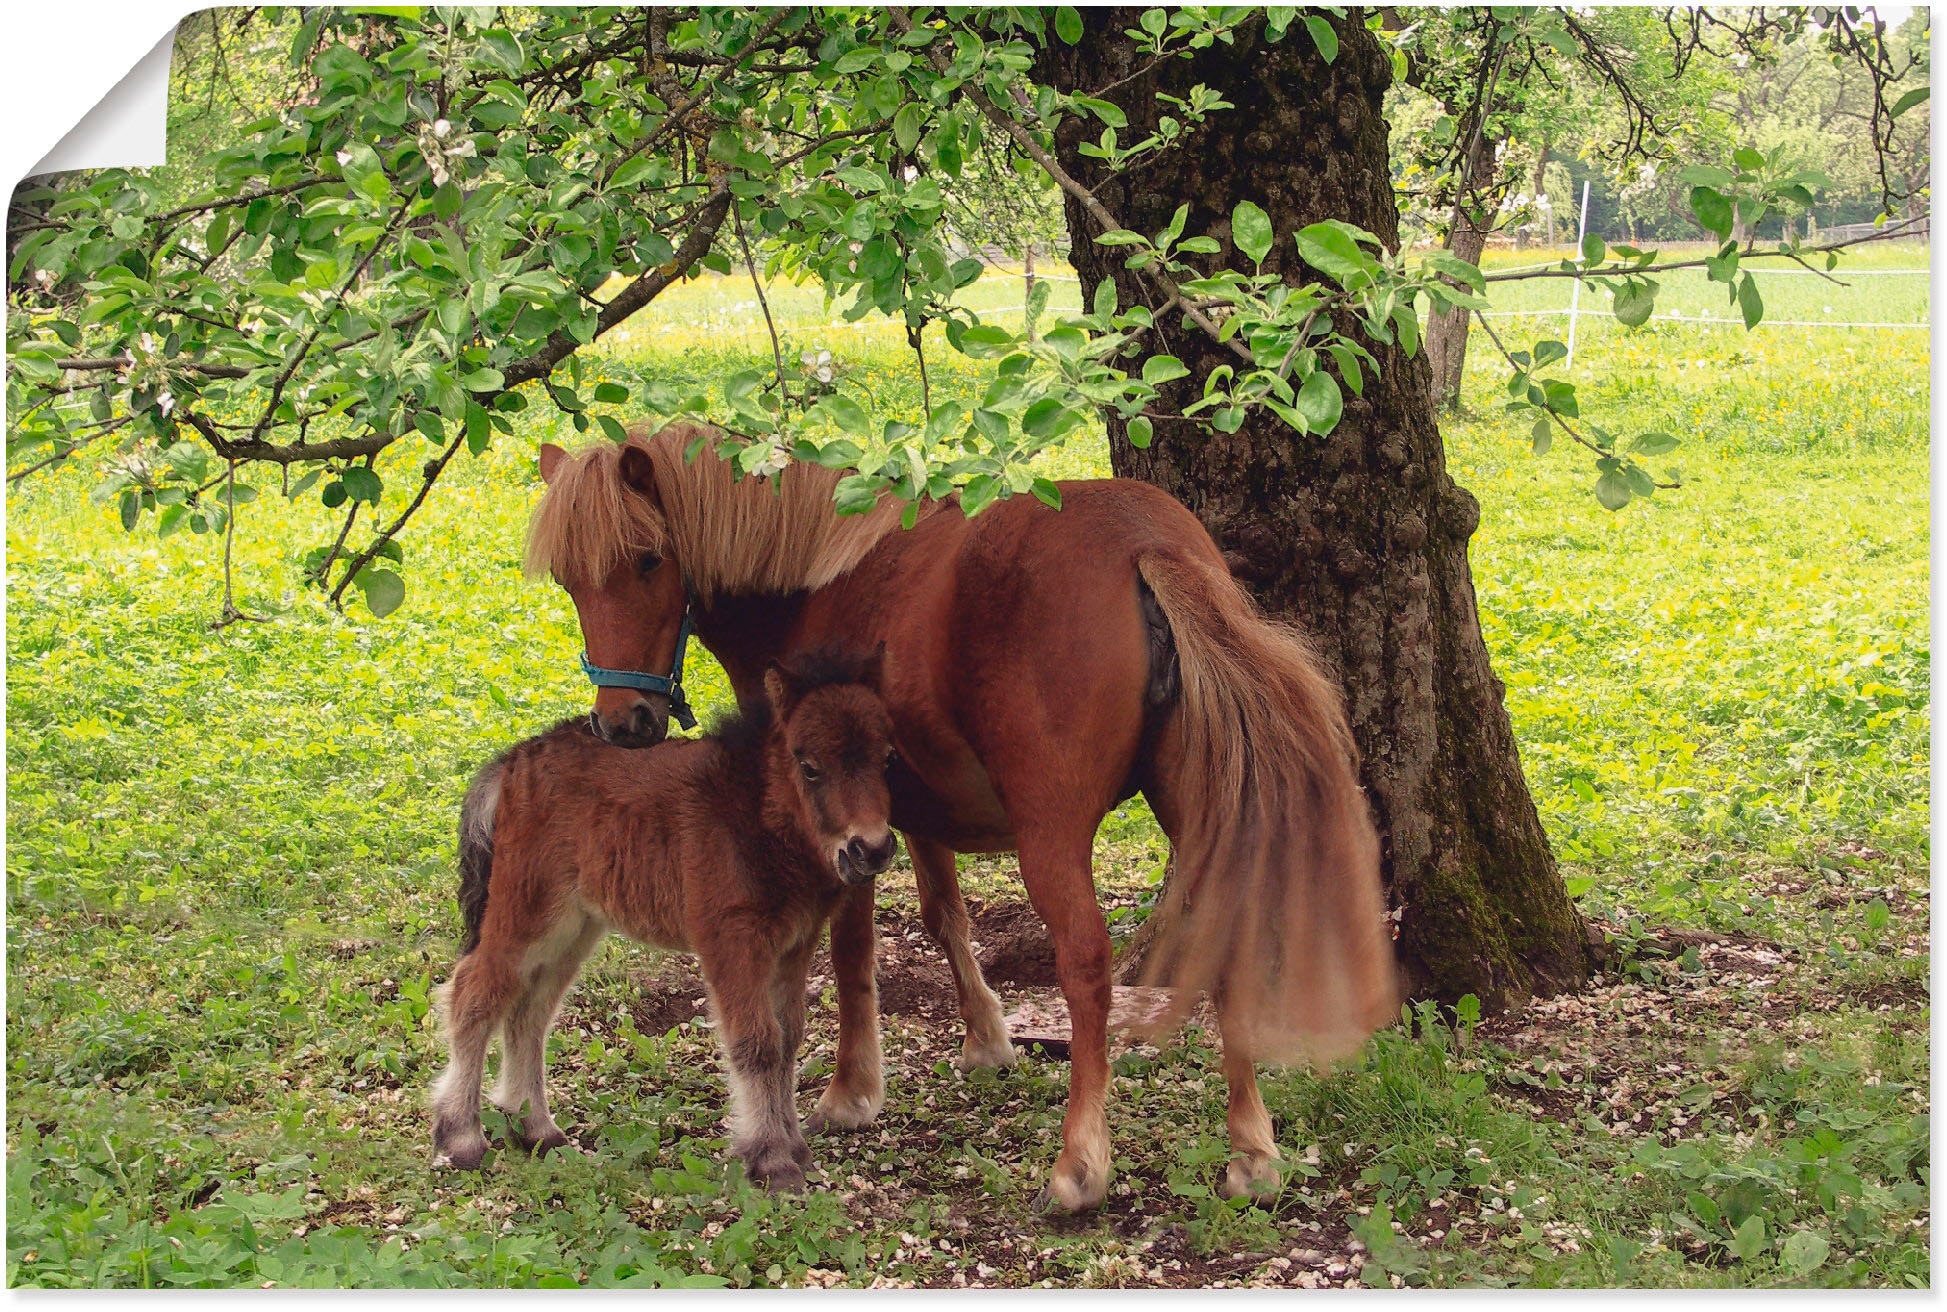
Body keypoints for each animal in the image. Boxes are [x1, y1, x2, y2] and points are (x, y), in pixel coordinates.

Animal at [426, 642, 895, 1183]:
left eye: (888, 758)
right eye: (810, 766)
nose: (871, 849)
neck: (754, 810)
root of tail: (513, 760)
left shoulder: (793, 946)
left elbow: (787, 1040)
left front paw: (793, 1148)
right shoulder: (731, 940)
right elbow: (757, 1042)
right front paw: (772, 1160)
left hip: (574, 927)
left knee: (530, 1011)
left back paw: (537, 1129)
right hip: (528, 912)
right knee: (475, 993)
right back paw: (461, 1137)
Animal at [521, 418, 1401, 1206]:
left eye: (647, 560)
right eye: (567, 580)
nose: (623, 724)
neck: (813, 582)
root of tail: (1146, 544)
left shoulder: (841, 829)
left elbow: (852, 953)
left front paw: (851, 1090)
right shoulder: (911, 813)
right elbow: (944, 915)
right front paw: (985, 1036)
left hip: (1052, 837)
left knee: (1085, 965)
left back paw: (1079, 1165)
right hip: (1197, 809)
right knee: (1224, 937)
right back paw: (1251, 1152)